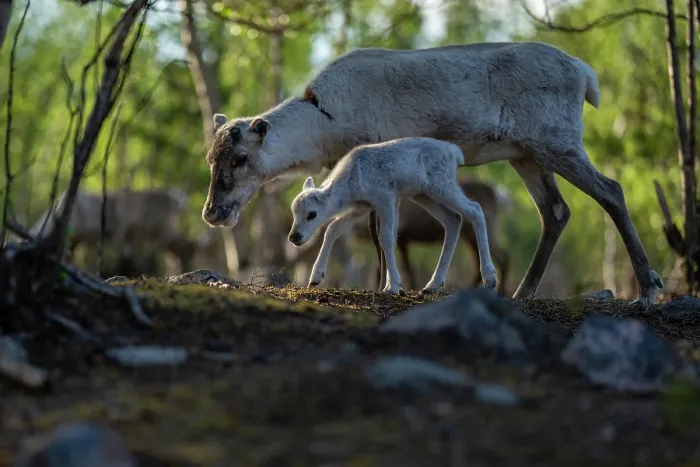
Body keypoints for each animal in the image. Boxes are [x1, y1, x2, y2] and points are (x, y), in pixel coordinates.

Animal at [202, 41, 664, 305]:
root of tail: (584, 72)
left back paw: (647, 286)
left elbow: (377, 232)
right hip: (526, 154)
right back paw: (523, 290)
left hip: (557, 141)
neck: (323, 121)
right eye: (210, 157)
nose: (212, 213)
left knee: (611, 190)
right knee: (555, 212)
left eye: (239, 158)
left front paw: (387, 284)